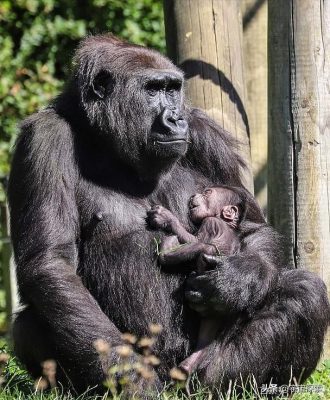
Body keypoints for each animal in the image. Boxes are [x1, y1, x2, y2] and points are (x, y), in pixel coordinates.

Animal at [148, 186, 266, 376]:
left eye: (208, 193)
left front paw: (166, 218)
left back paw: (167, 251)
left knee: (203, 248)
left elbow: (194, 239)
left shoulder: (211, 223)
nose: (195, 195)